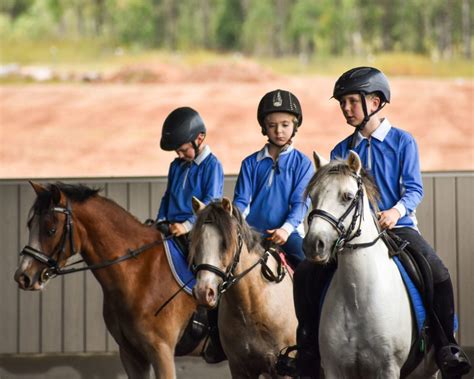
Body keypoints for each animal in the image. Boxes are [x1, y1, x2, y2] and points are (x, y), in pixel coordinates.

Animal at [13, 183, 204, 378]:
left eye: (51, 230)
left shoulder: (161, 351)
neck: (139, 273)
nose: (23, 276)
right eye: (30, 225)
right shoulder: (131, 353)